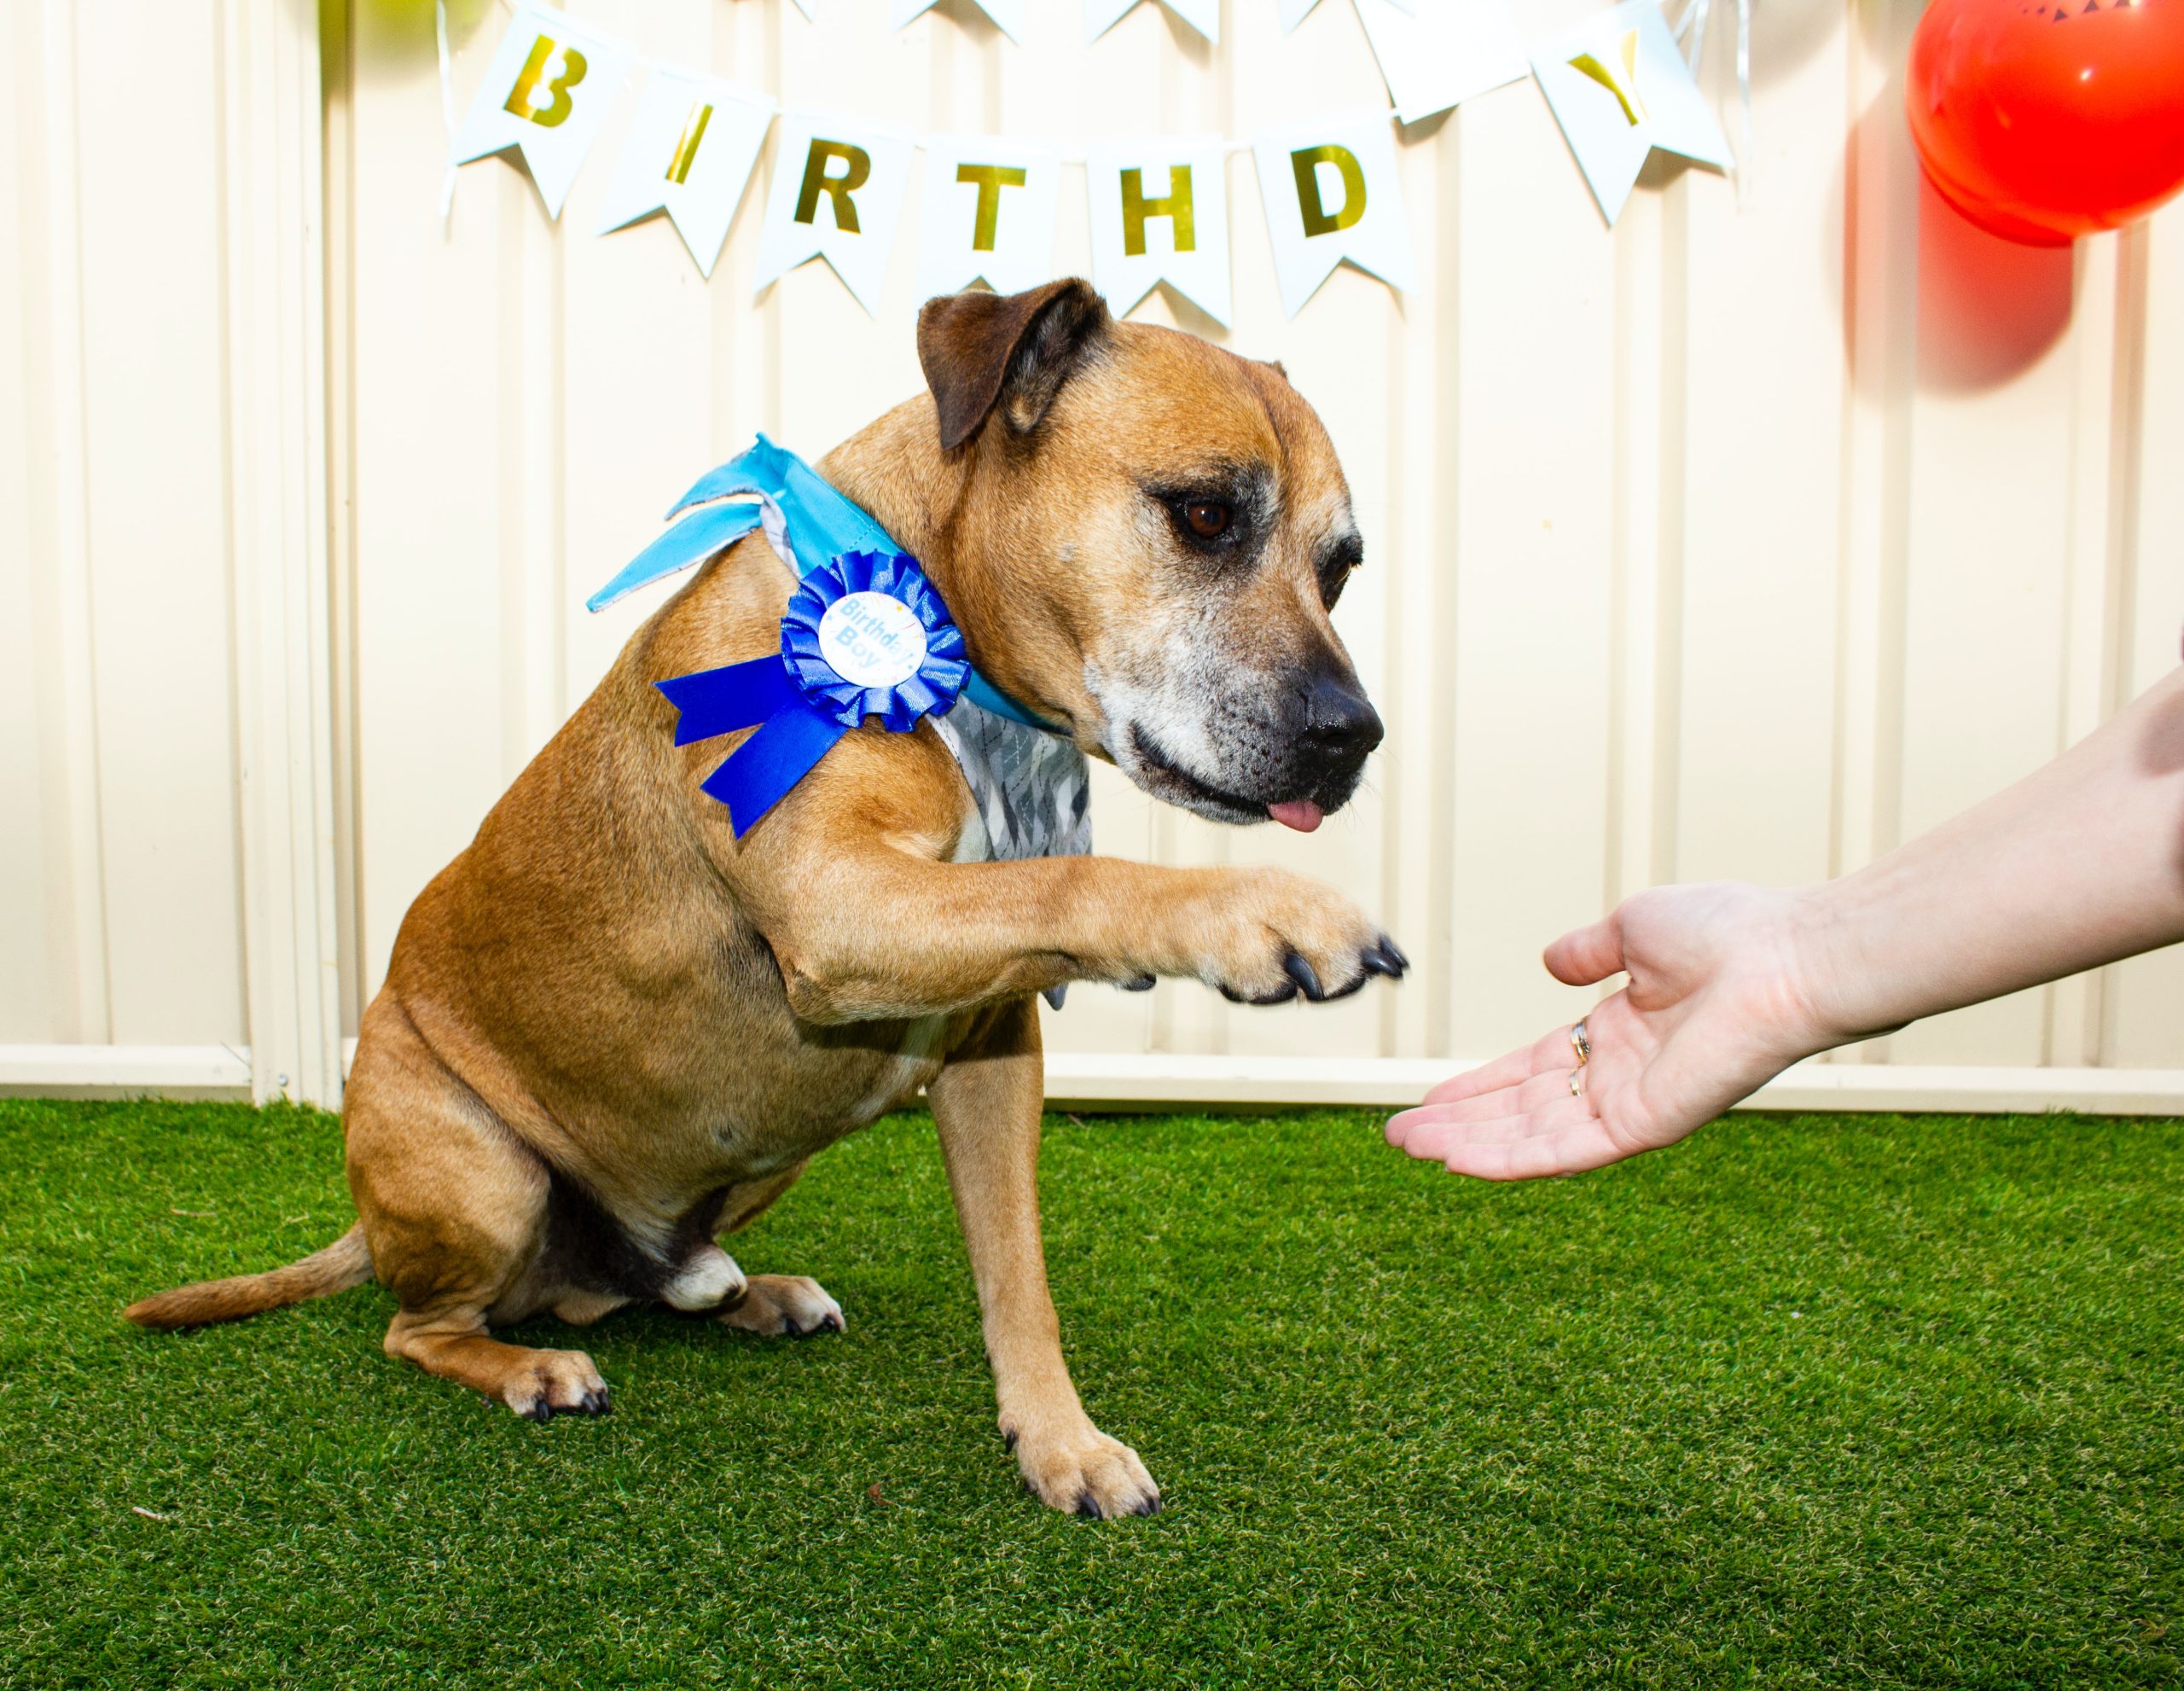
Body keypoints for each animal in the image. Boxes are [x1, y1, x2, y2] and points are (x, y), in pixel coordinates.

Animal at [127, 282, 1397, 1520]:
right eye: (1204, 515)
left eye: (1340, 567)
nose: (1354, 736)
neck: (941, 635)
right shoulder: (843, 904)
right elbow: (1069, 876)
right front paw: (1251, 913)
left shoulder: (991, 1053)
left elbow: (1017, 1272)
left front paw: (1057, 1439)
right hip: (480, 1171)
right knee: (421, 1327)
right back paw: (527, 1366)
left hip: (749, 1165)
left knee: (631, 1291)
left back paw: (743, 1293)